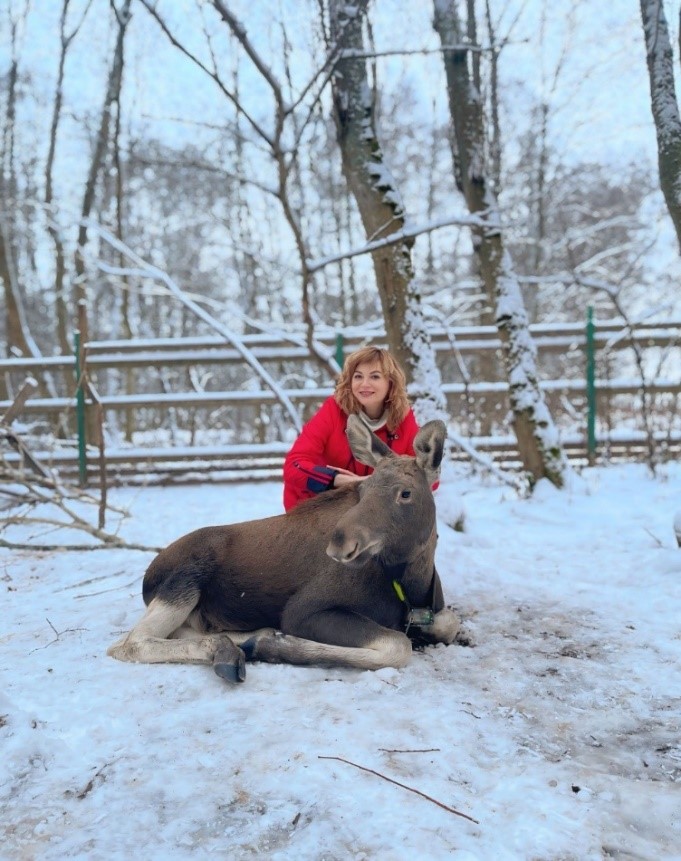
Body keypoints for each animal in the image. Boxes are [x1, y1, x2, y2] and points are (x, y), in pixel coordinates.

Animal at [107, 415, 460, 683]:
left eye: (405, 493)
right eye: (364, 490)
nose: (340, 542)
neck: (411, 580)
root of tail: (148, 575)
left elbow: (449, 623)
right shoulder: (302, 611)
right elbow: (398, 646)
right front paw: (277, 647)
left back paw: (238, 642)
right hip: (184, 583)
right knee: (128, 643)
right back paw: (232, 648)